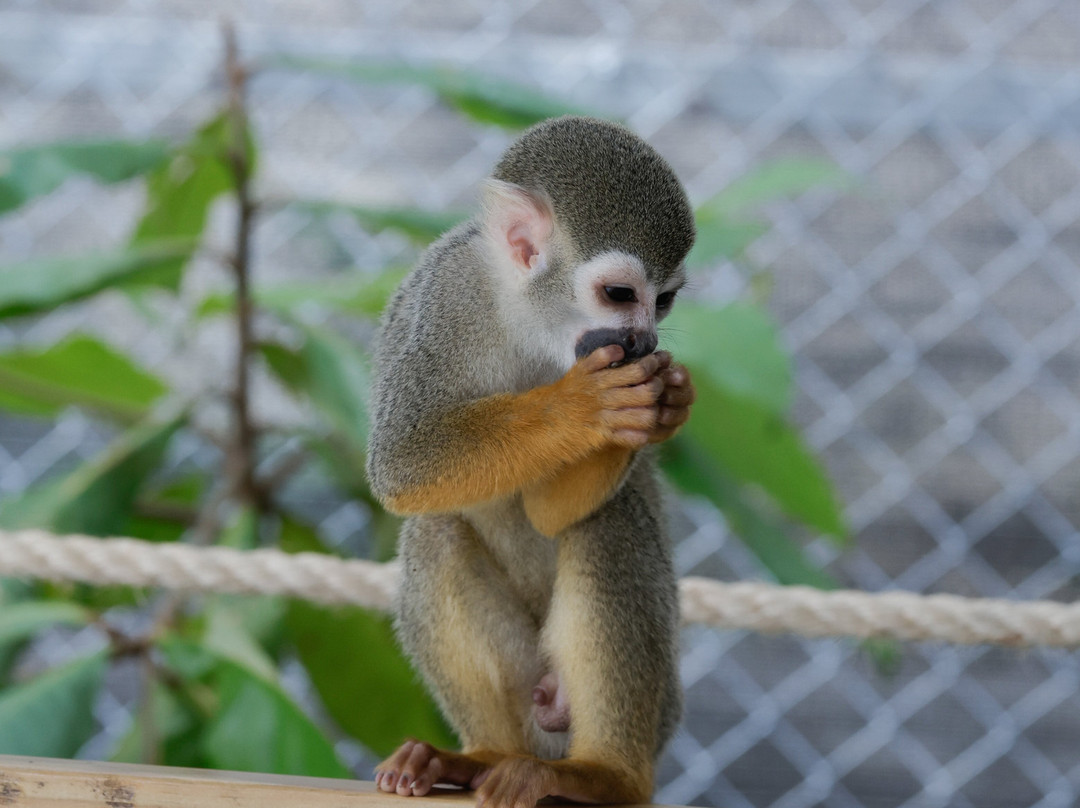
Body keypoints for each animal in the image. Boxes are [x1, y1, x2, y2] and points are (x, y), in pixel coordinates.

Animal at [366, 116, 697, 807]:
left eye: (664, 303)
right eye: (620, 293)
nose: (646, 342)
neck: (526, 319)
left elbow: (554, 515)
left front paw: (661, 404)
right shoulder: (445, 301)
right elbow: (402, 463)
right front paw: (582, 407)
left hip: (653, 710)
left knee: (608, 522)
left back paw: (609, 775)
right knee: (435, 529)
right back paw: (482, 756)